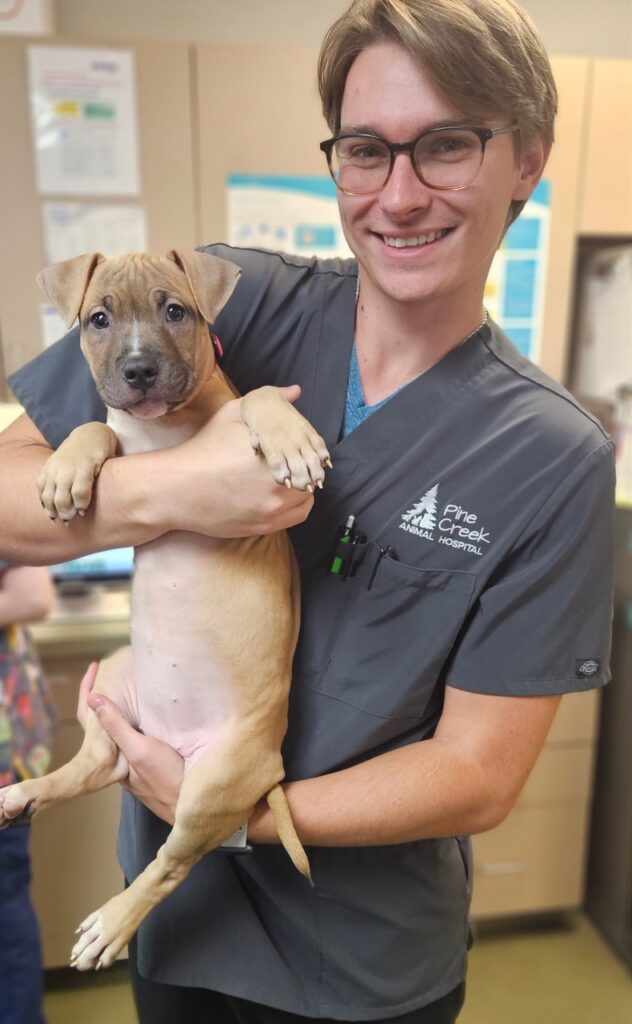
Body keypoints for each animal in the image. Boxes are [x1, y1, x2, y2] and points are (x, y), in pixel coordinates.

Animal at [2, 247, 329, 966]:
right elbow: (92, 425)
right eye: (98, 319)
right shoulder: (120, 439)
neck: (165, 430)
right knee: (94, 765)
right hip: (116, 677)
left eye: (175, 311)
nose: (138, 370)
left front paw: (289, 437)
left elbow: (260, 395)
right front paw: (65, 470)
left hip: (214, 782)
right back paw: (22, 792)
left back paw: (111, 925)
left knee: (171, 865)